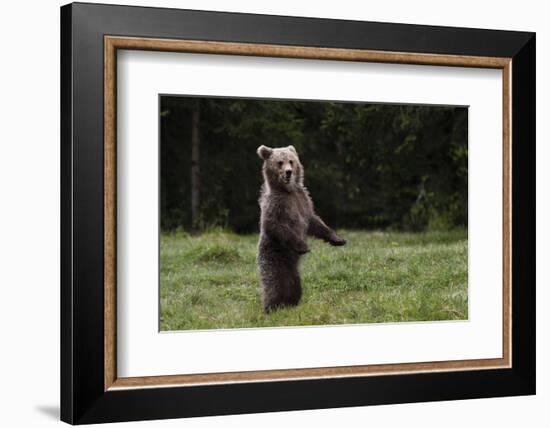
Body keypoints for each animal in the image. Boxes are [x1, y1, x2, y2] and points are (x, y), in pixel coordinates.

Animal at [258, 145, 344, 312]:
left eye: (291, 161)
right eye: (280, 162)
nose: (289, 172)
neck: (288, 191)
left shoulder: (303, 201)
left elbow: (315, 222)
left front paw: (338, 239)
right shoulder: (277, 205)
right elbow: (275, 225)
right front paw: (303, 246)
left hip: (293, 270)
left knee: (295, 286)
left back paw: (292, 304)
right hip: (275, 257)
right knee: (275, 285)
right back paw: (271, 307)